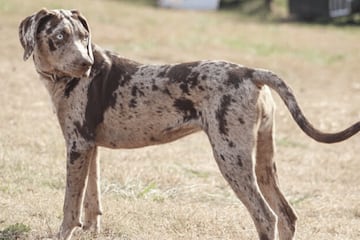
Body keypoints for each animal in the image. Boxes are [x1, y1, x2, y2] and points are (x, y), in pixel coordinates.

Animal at [19, 7, 360, 240]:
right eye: (60, 37)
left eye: (83, 37)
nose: (86, 64)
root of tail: (250, 72)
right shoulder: (90, 147)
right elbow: (91, 200)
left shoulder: (77, 147)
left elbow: (70, 206)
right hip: (263, 162)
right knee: (287, 216)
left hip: (231, 157)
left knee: (266, 217)